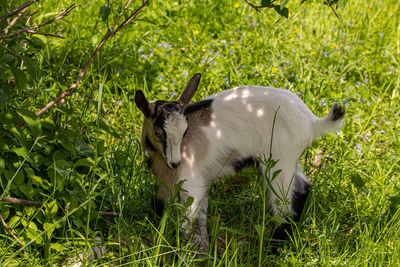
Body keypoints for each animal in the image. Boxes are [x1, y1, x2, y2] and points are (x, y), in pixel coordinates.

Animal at [134, 74, 344, 252]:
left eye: (185, 132)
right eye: (159, 132)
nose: (175, 162)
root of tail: (312, 121)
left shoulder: (191, 182)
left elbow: (188, 220)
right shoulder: (166, 184)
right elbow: (161, 206)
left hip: (279, 162)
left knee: (284, 208)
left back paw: (274, 249)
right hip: (289, 160)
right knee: (303, 187)